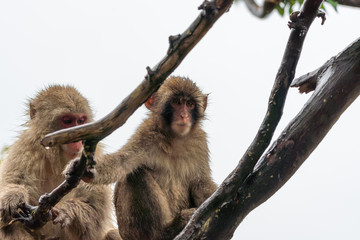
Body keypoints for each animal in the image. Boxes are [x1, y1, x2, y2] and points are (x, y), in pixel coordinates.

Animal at [0, 85, 121, 240]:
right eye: (68, 121)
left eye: (81, 121)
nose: (77, 139)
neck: (58, 156)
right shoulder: (25, 148)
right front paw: (13, 196)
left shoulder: (94, 156)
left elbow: (94, 218)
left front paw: (67, 210)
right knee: (10, 227)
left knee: (112, 233)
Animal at [87, 77, 217, 240]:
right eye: (177, 102)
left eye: (190, 104)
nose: (184, 116)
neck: (175, 139)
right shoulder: (145, 135)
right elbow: (122, 163)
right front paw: (89, 171)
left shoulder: (200, 141)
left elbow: (201, 182)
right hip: (130, 230)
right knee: (137, 173)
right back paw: (166, 231)